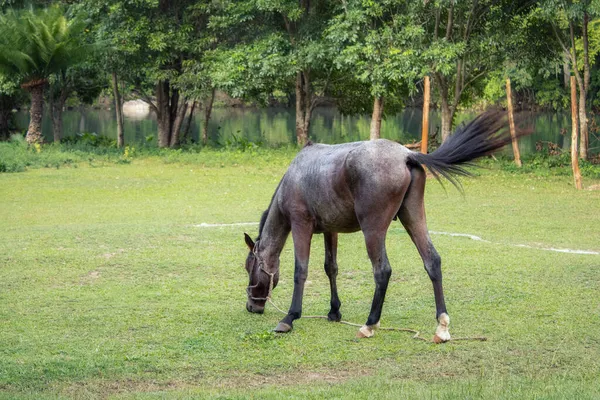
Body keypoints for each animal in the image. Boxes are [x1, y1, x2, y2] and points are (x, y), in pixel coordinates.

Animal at [244, 111, 524, 342]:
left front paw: (290, 317)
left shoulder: (301, 226)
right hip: (413, 217)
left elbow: (300, 271)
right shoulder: (330, 230)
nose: (251, 307)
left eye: (248, 267)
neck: (293, 179)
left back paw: (370, 324)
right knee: (432, 261)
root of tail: (407, 154)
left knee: (382, 271)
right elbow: (330, 268)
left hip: (373, 229)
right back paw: (441, 327)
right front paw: (334, 311)